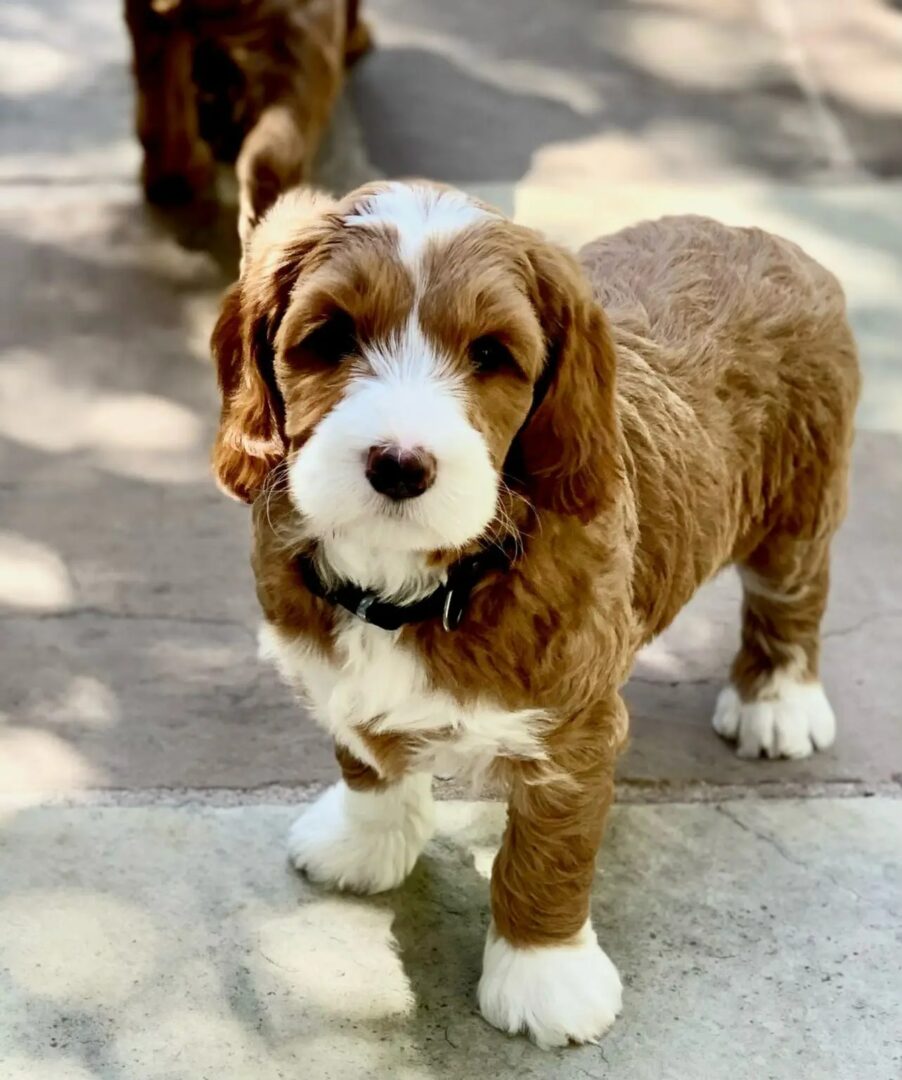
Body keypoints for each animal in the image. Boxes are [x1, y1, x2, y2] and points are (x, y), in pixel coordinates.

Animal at [209, 183, 859, 1045]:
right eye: (331, 337)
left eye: (490, 354)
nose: (400, 465)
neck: (415, 581)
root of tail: (767, 237)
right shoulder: (336, 676)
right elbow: (367, 757)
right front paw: (365, 843)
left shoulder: (572, 730)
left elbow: (549, 854)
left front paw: (543, 974)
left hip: (799, 502)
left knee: (792, 595)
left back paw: (778, 702)